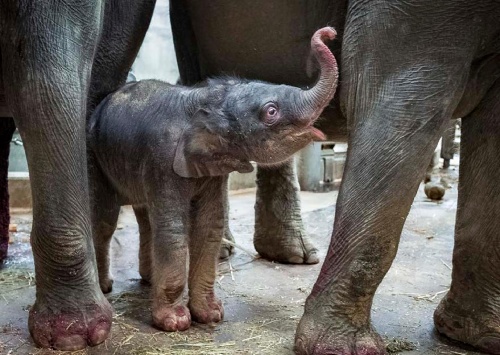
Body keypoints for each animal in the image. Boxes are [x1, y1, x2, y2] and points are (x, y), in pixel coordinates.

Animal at [88, 26, 338, 332]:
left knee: (145, 218)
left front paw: (211, 314)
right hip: (95, 156)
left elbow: (209, 225)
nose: (329, 33)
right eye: (271, 111)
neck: (204, 99)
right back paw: (106, 287)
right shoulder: (163, 160)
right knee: (105, 220)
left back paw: (147, 280)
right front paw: (175, 322)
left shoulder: (210, 168)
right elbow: (173, 230)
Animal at [171, 0, 500, 355]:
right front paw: (342, 349)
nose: (328, 33)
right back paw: (228, 252)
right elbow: (404, 105)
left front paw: (475, 335)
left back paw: (291, 255)